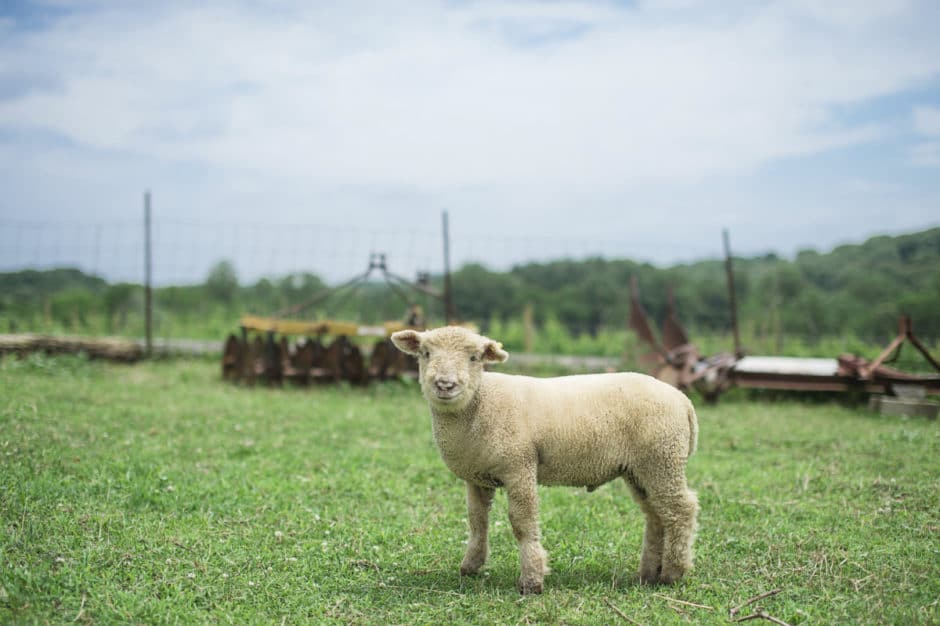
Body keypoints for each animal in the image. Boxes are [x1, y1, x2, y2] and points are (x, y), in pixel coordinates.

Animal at [390, 324, 696, 592]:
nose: (445, 385)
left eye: (474, 357)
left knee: (681, 510)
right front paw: (470, 566)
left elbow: (522, 523)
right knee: (656, 515)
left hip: (662, 458)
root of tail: (682, 400)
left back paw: (673, 572)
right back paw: (648, 573)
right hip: (639, 469)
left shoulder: (519, 466)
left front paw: (532, 580)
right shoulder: (477, 477)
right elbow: (477, 520)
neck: (480, 404)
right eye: (425, 353)